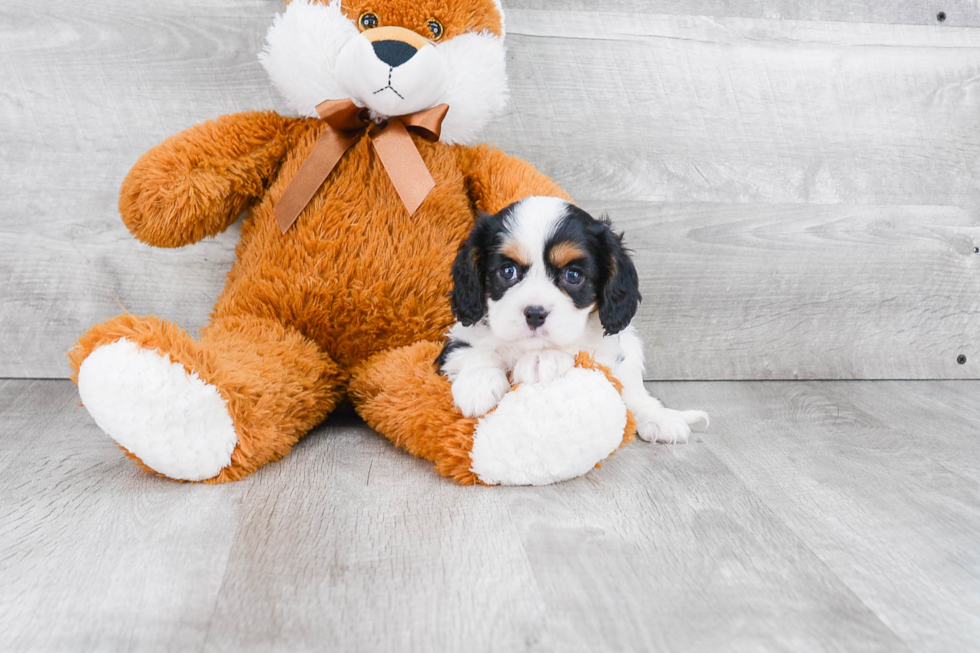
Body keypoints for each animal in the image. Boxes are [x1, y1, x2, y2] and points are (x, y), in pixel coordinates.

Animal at [440, 196, 708, 446]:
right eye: (507, 271)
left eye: (573, 275)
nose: (535, 313)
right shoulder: (456, 340)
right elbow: (475, 350)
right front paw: (478, 383)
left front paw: (543, 359)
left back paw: (658, 418)